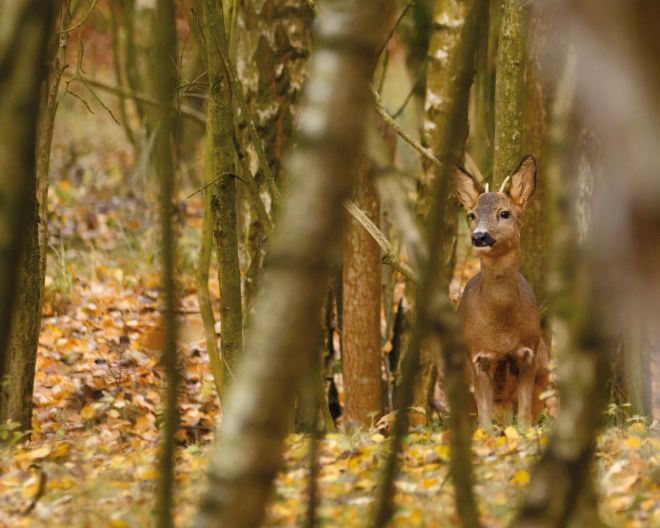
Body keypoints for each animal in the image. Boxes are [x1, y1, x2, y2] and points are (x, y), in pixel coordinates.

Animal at [456, 156, 548, 428]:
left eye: (504, 213)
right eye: (472, 214)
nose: (479, 236)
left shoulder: (529, 352)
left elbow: (525, 415)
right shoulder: (478, 357)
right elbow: (484, 421)